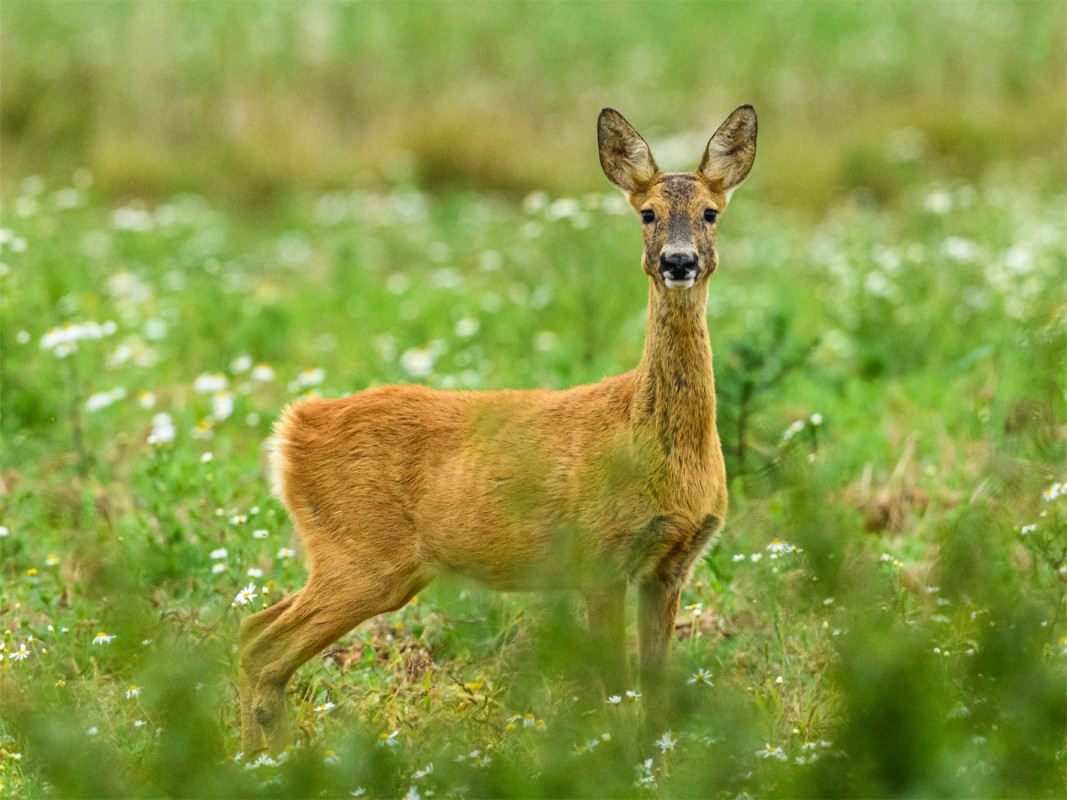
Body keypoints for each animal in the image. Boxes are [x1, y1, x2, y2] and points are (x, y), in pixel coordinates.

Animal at [242, 105, 759, 750]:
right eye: (647, 213)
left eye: (711, 212)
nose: (679, 261)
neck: (655, 448)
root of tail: (293, 429)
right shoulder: (599, 556)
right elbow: (615, 691)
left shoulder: (669, 568)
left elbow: (657, 699)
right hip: (362, 555)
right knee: (262, 647)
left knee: (251, 630)